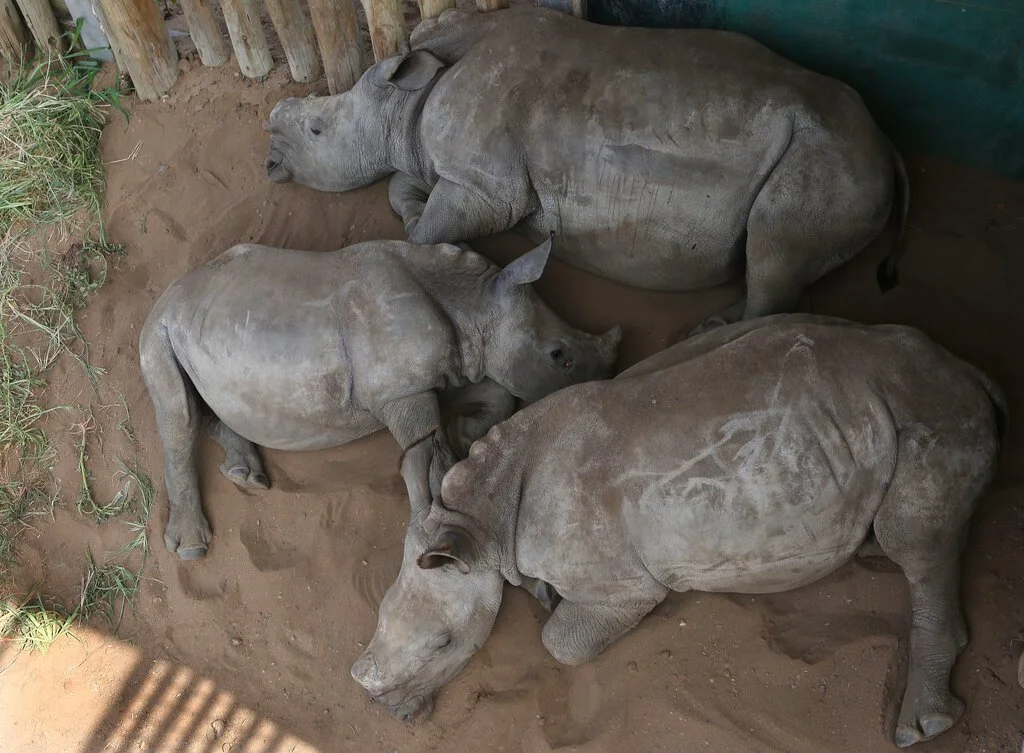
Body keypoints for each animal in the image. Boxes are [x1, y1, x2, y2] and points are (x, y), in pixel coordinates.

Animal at [139, 237, 620, 560]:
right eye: (560, 357)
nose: (608, 379)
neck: (472, 305)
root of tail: (168, 293)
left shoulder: (444, 371)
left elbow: (496, 393)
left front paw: (467, 433)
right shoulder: (401, 391)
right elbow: (429, 457)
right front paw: (440, 526)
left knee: (200, 409)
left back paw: (246, 475)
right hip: (159, 330)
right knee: (179, 414)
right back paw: (192, 548)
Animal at [265, 6, 909, 329]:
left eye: (316, 130)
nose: (268, 147)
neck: (407, 101)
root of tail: (887, 144)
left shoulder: (487, 188)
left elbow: (424, 231)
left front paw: (426, 227)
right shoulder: (466, 176)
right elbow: (406, 183)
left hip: (827, 163)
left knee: (775, 251)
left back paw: (712, 335)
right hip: (838, 161)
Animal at [351, 314, 1005, 748]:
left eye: (445, 645)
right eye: (376, 613)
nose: (384, 709)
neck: (480, 520)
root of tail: (968, 369)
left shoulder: (624, 588)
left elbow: (560, 644)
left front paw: (553, 614)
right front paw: (539, 594)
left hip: (928, 413)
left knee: (916, 543)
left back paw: (923, 726)